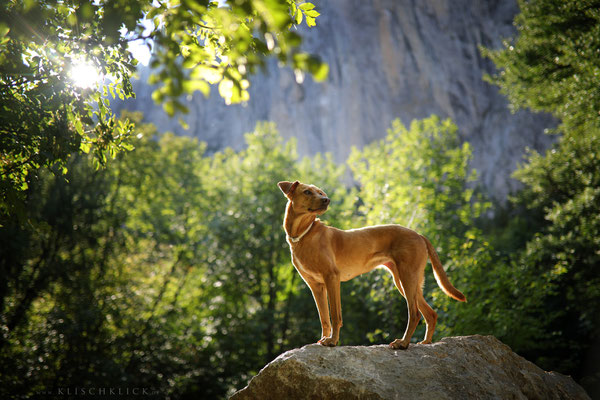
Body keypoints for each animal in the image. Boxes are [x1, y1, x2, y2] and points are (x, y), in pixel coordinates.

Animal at [278, 180, 466, 348]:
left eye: (321, 193)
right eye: (307, 192)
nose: (327, 200)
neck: (303, 234)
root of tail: (419, 234)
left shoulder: (332, 278)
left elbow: (335, 315)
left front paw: (332, 341)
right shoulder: (316, 286)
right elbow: (324, 318)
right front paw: (324, 339)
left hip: (407, 278)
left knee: (414, 313)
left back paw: (403, 343)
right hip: (406, 281)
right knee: (430, 313)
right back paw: (426, 342)